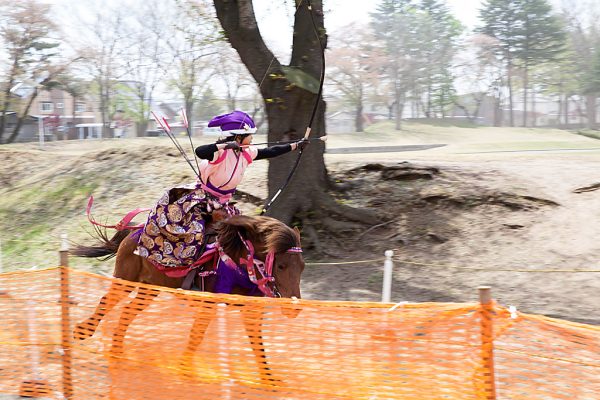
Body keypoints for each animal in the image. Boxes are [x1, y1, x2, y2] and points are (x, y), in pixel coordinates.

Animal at [71, 214, 304, 382]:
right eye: (281, 265)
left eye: (302, 266)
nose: (294, 308)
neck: (240, 262)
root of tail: (133, 231)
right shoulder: (208, 305)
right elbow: (196, 337)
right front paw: (184, 368)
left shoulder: (251, 311)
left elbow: (258, 344)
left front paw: (269, 379)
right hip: (125, 278)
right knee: (107, 300)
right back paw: (83, 331)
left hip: (149, 289)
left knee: (127, 311)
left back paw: (117, 351)